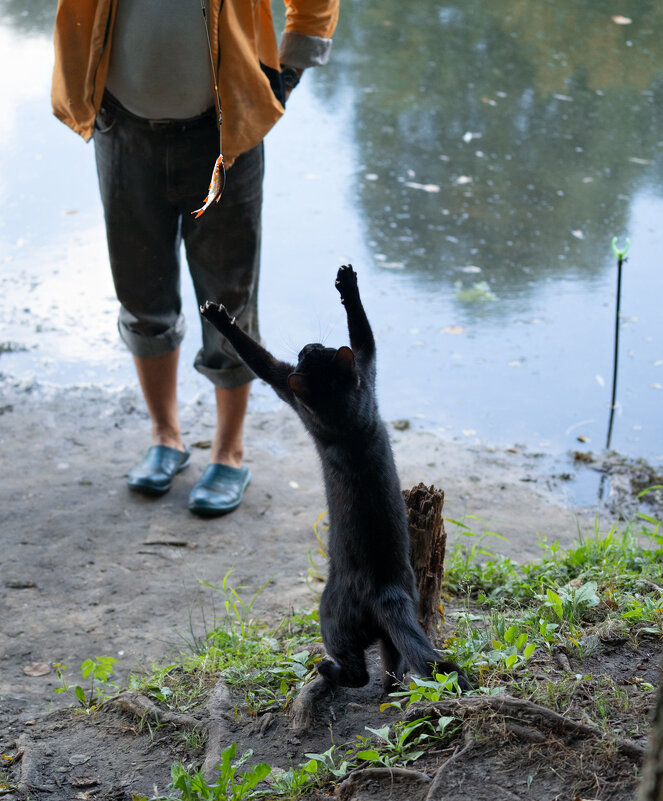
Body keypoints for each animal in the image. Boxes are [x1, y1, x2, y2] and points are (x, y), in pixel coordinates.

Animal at [200, 264, 470, 692]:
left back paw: (327, 669)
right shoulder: (366, 375)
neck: (349, 422)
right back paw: (390, 689)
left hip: (330, 614)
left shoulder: (297, 385)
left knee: (358, 671)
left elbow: (264, 359)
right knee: (395, 663)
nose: (308, 344)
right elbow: (363, 335)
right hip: (397, 618)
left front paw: (219, 316)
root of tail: (388, 593)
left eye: (311, 353)